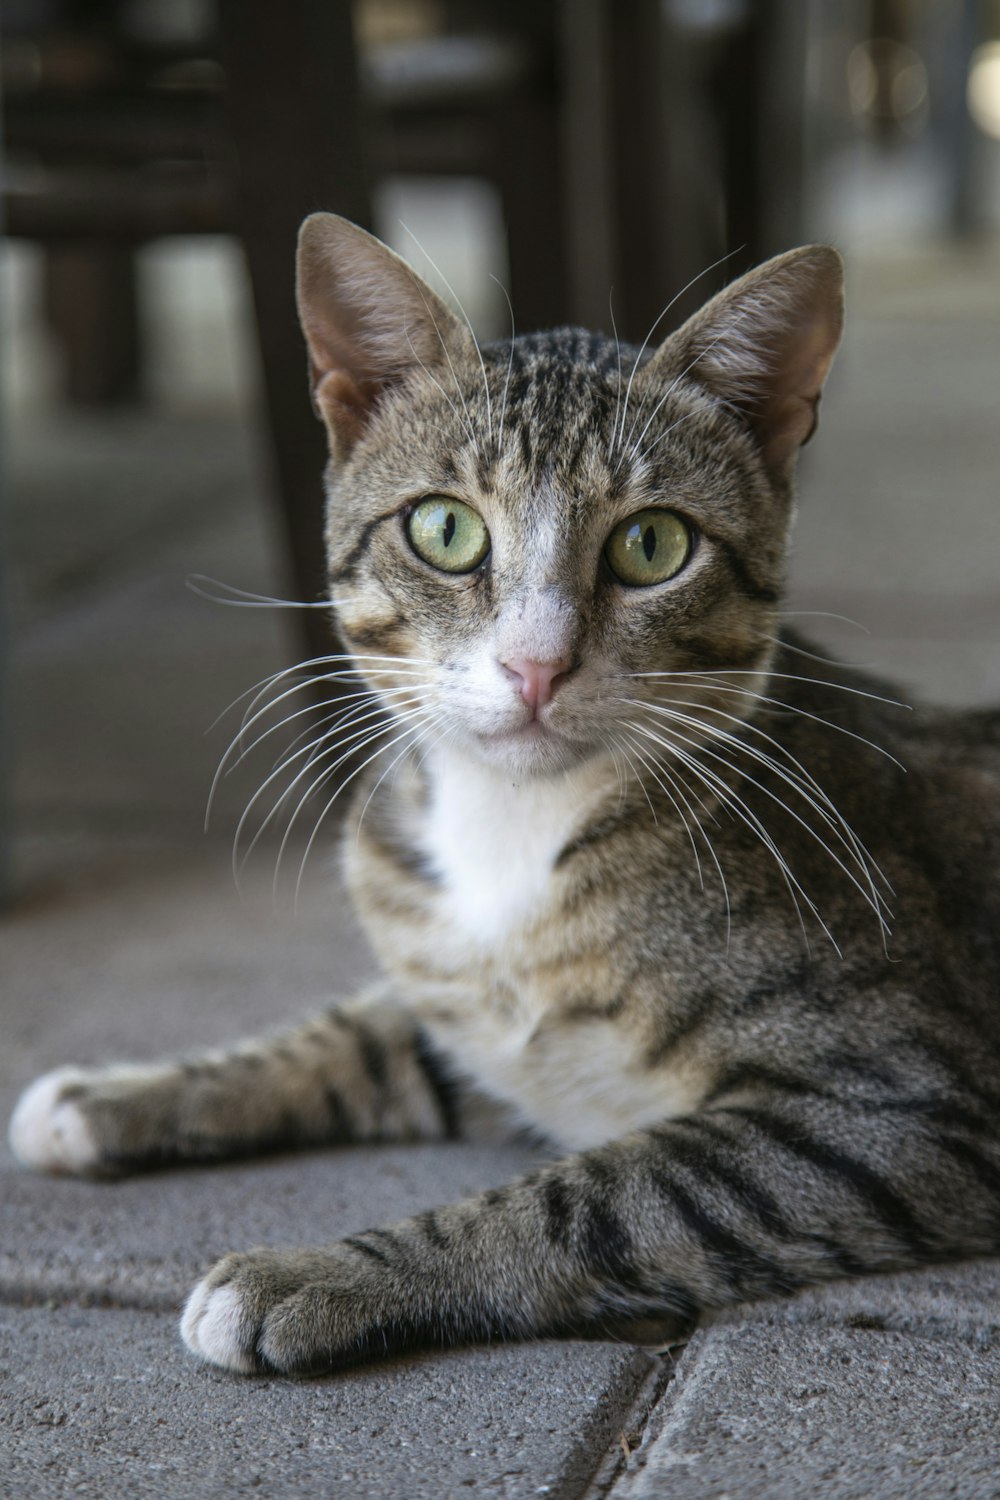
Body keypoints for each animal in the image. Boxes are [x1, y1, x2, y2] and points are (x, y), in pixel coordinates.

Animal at [9, 217, 1000, 1374]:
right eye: (444, 529)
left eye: (653, 544)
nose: (536, 665)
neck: (520, 833)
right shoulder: (463, 1017)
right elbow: (348, 1040)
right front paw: (115, 1095)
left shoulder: (898, 1104)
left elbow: (591, 1198)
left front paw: (316, 1275)